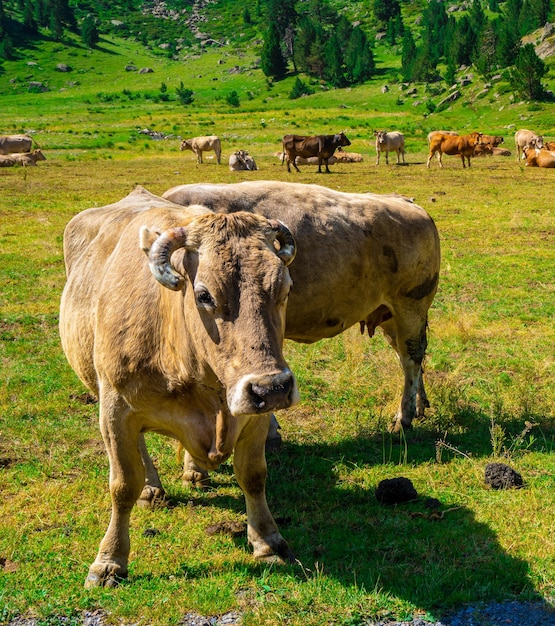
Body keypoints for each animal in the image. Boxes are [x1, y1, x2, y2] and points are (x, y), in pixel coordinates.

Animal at [59, 185, 300, 584]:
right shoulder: (115, 410)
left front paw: (268, 542)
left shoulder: (254, 415)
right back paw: (152, 488)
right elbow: (122, 485)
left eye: (284, 287)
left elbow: (253, 475)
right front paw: (109, 560)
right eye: (204, 295)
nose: (272, 388)